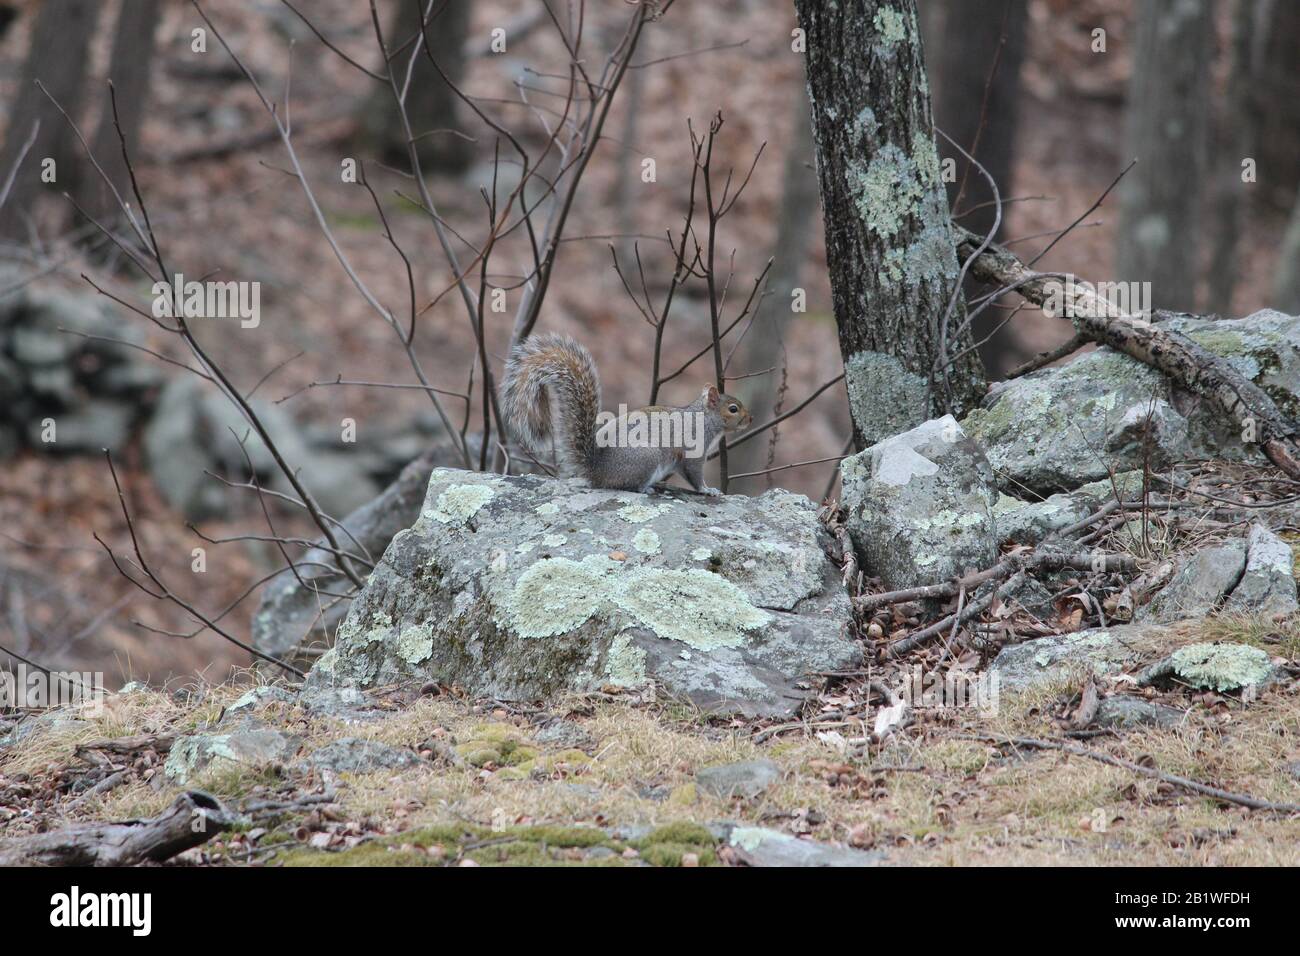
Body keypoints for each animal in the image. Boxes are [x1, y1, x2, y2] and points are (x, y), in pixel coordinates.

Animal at [502, 333, 752, 495]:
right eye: (733, 408)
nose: (751, 419)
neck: (703, 418)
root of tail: (597, 471)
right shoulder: (694, 451)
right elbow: (694, 475)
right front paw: (709, 490)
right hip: (647, 458)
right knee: (630, 486)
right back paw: (648, 488)